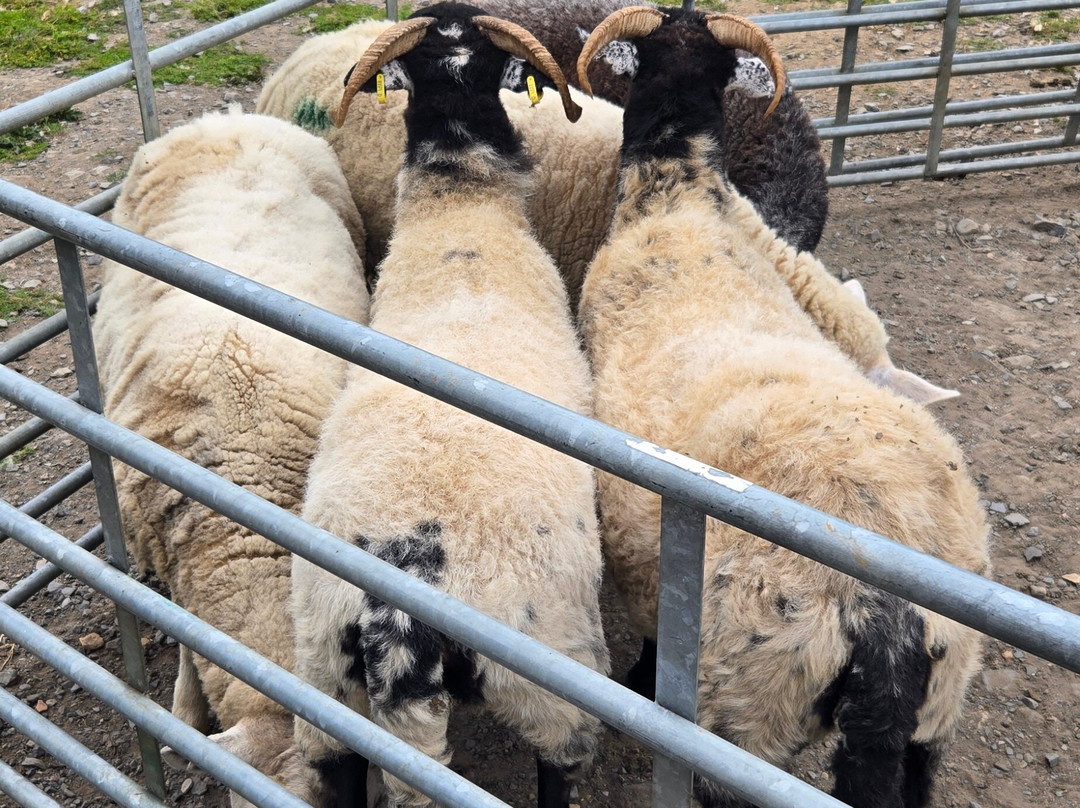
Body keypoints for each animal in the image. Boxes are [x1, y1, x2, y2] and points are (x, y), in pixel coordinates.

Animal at [289, 5, 608, 808]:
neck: (461, 219)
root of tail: (400, 609)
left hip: (320, 674)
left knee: (337, 767)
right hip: (552, 670)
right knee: (558, 766)